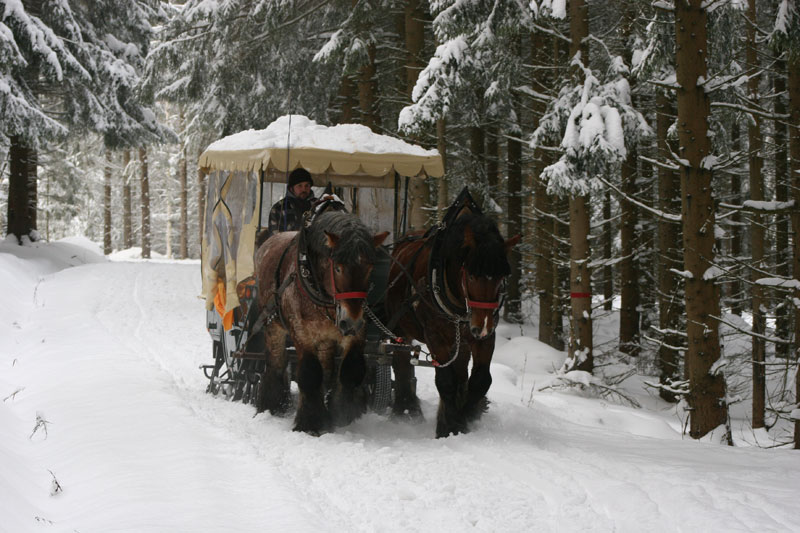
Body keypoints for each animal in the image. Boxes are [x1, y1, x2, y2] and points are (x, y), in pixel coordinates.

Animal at [255, 208, 390, 432]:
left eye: (370, 268)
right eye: (338, 268)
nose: (350, 321)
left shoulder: (355, 332)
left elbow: (350, 370)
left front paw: (342, 412)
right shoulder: (301, 332)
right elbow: (310, 373)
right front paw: (310, 421)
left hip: (327, 338)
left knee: (326, 369)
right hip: (273, 325)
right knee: (276, 361)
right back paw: (272, 404)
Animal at [386, 204, 520, 436]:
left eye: (501, 277)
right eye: (472, 275)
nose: (481, 327)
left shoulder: (485, 338)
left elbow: (480, 380)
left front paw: (466, 417)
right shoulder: (436, 336)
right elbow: (446, 381)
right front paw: (449, 426)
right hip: (400, 329)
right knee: (401, 362)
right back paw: (406, 408)